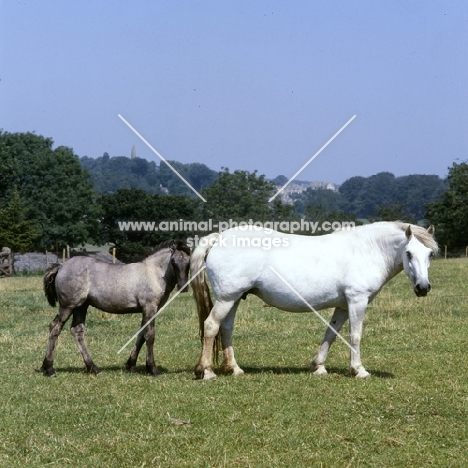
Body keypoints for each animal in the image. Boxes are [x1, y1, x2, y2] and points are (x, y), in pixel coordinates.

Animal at [190, 221, 438, 378]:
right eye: (409, 254)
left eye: (430, 254)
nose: (423, 288)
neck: (367, 250)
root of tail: (219, 238)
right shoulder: (357, 301)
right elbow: (355, 336)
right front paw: (359, 370)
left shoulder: (342, 306)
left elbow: (331, 333)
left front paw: (318, 366)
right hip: (227, 298)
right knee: (211, 326)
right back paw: (207, 371)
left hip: (232, 299)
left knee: (226, 329)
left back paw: (234, 369)